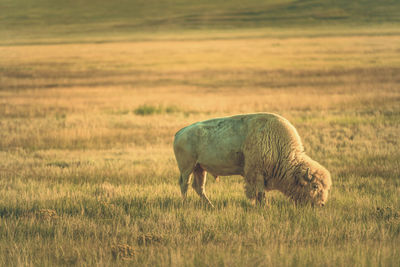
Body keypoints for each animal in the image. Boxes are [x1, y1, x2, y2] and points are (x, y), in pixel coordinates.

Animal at [172, 112, 332, 207]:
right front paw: (264, 206)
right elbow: (259, 192)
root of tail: (180, 132)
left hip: (200, 168)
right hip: (187, 168)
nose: (322, 204)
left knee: (199, 187)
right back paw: (185, 203)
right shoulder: (256, 174)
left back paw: (210, 205)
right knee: (185, 184)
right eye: (315, 186)